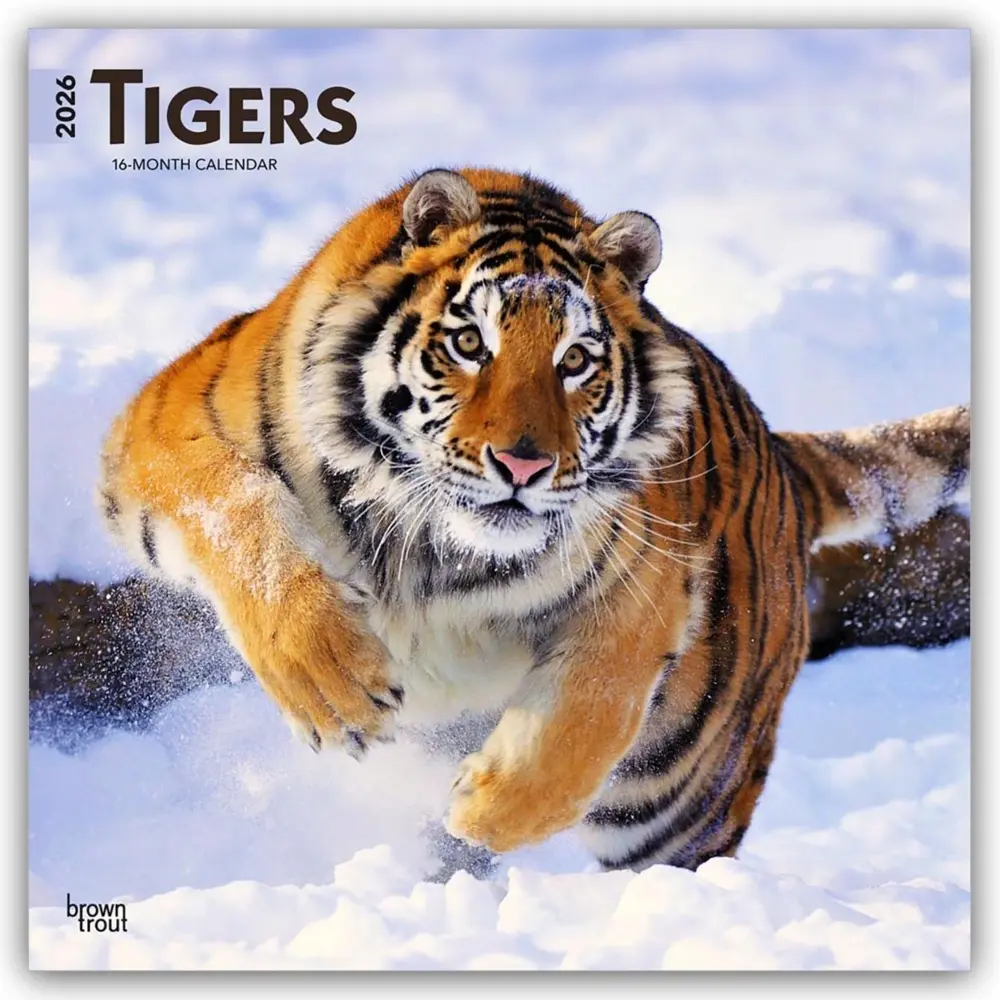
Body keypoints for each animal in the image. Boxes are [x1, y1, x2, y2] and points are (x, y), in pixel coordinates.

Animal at [98, 167, 970, 871]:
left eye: (575, 360)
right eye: (468, 343)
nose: (523, 466)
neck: (432, 547)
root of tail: (783, 457)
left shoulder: (646, 581)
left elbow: (587, 713)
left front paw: (485, 809)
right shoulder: (163, 425)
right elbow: (240, 515)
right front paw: (332, 687)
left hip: (684, 792)